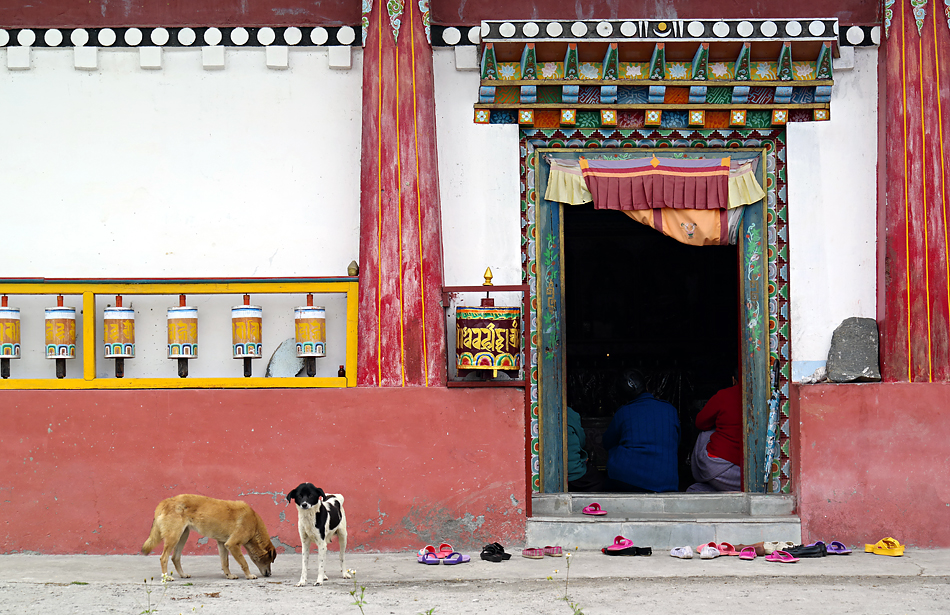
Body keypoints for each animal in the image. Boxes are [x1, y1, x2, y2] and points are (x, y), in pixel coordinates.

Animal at [141, 496, 278, 584]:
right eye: (270, 560)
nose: (269, 574)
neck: (254, 525)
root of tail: (165, 501)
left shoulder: (223, 544)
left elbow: (225, 562)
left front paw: (229, 575)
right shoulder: (233, 544)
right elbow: (244, 563)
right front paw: (249, 576)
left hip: (183, 536)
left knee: (175, 557)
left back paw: (182, 574)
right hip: (173, 537)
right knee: (163, 558)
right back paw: (166, 577)